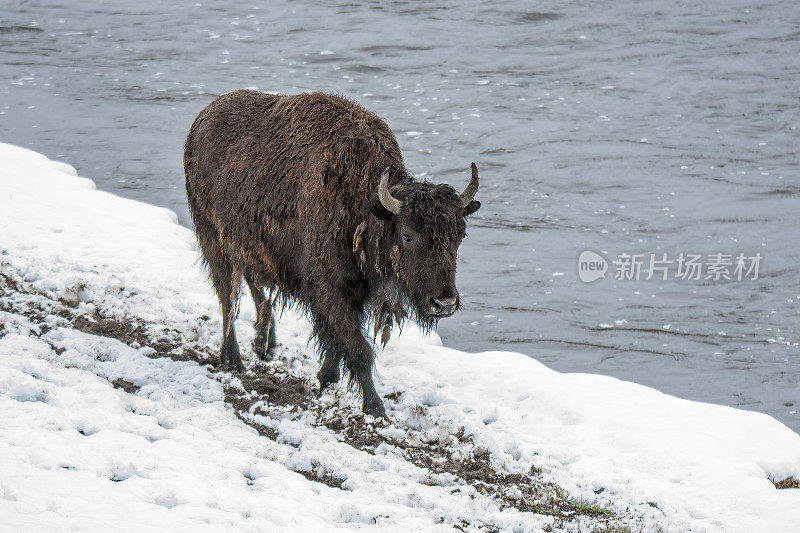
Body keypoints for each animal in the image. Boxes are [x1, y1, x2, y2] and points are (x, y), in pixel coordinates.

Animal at [184, 90, 478, 416]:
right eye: (408, 235)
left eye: (460, 235)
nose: (444, 303)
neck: (366, 204)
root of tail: (202, 118)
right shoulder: (329, 289)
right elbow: (358, 350)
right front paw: (375, 407)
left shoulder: (355, 290)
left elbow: (337, 343)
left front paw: (327, 377)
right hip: (213, 238)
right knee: (227, 296)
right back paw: (233, 359)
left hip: (250, 246)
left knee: (253, 284)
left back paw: (265, 345)